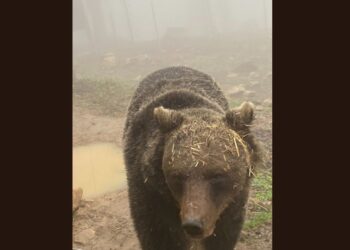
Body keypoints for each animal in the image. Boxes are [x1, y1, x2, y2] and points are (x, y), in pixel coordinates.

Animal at [122, 65, 260, 249]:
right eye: (177, 175)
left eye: (218, 175)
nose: (193, 225)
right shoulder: (149, 191)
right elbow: (158, 235)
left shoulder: (234, 200)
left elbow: (224, 235)